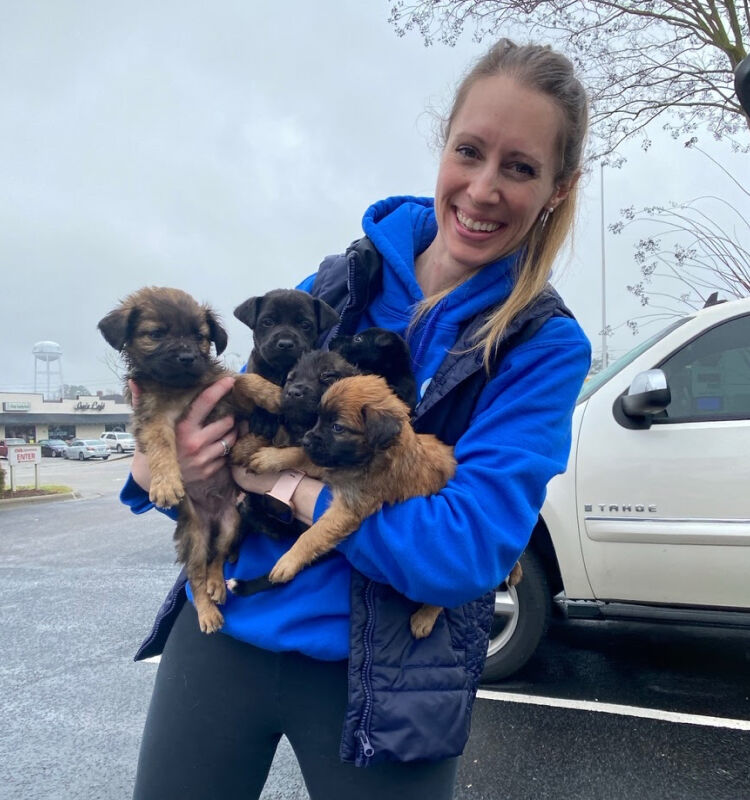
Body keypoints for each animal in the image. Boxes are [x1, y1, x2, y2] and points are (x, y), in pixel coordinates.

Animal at [97, 284, 280, 636]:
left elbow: (245, 380)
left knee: (217, 559)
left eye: (200, 336)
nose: (186, 357)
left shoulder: (223, 389)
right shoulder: (154, 418)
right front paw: (165, 484)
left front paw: (275, 393)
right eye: (156, 334)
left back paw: (218, 585)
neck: (181, 387)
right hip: (194, 536)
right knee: (196, 574)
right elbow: (159, 446)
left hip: (231, 522)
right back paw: (207, 613)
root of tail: (211, 520)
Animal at [247, 372, 458, 640]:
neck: (369, 459)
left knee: (444, 597)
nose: (305, 438)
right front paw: (270, 458)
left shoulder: (347, 508)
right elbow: (299, 455)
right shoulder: (328, 462)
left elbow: (312, 535)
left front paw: (288, 561)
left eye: (337, 427)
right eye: (319, 418)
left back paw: (425, 618)